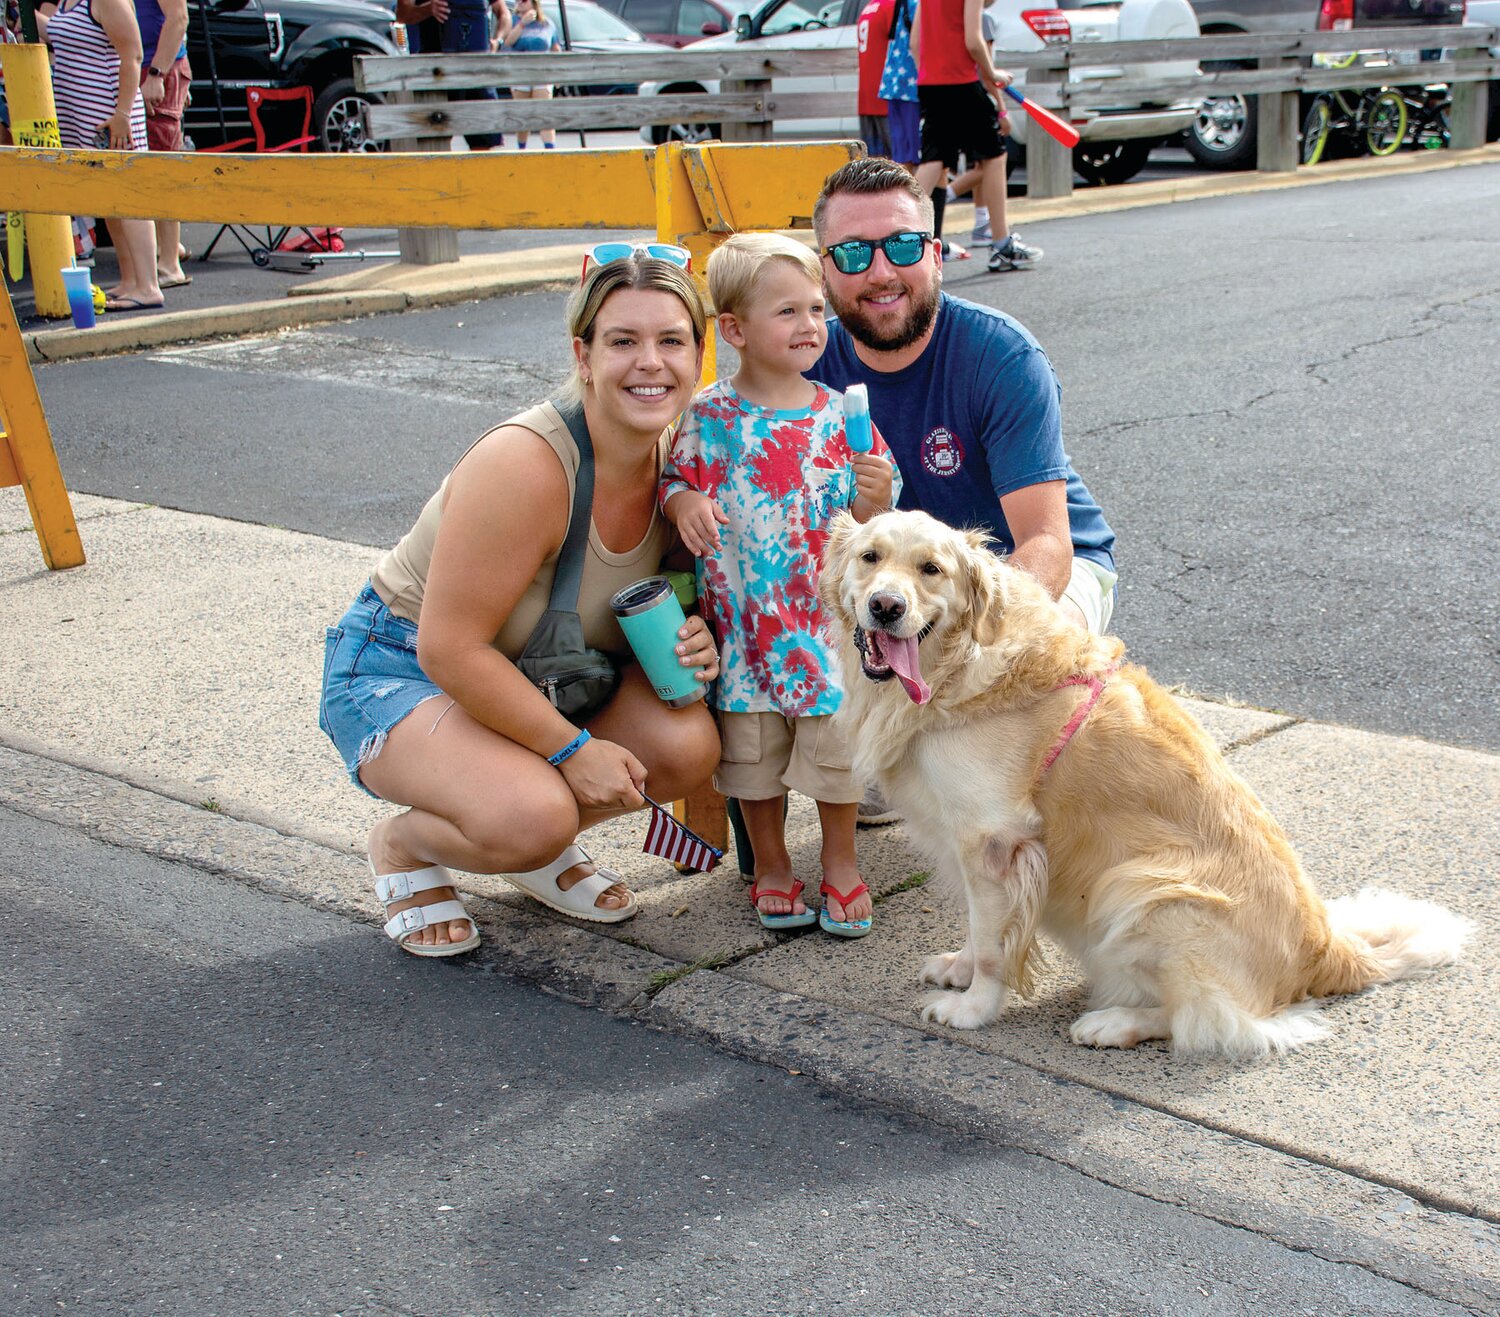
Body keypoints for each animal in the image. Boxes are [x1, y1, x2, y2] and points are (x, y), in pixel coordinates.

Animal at [816, 513, 1470, 1062]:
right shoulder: (968, 844)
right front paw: (959, 968)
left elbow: (996, 947)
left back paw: (1114, 1023)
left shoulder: (995, 841)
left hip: (1139, 887)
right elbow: (980, 932)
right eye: (871, 558)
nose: (885, 606)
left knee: (1217, 1021)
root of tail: (1328, 949)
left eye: (932, 569)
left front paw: (973, 1009)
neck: (956, 667)